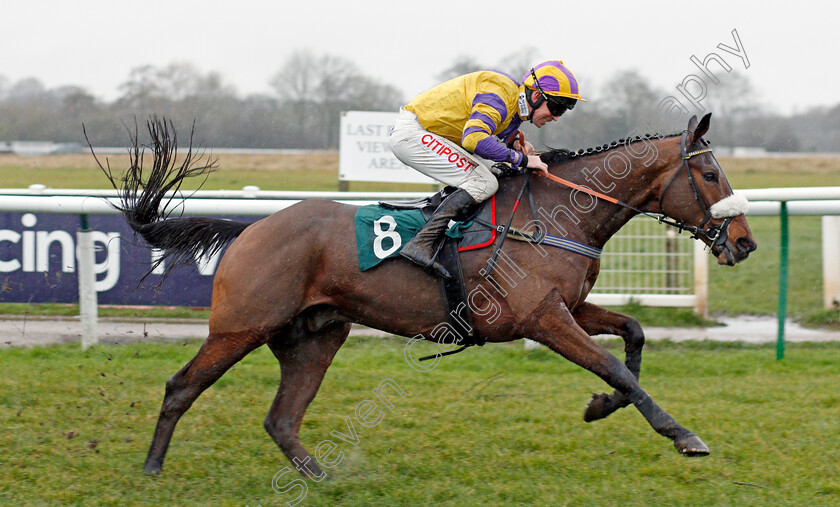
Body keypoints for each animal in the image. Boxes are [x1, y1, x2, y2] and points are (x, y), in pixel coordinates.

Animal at [95, 113, 756, 478]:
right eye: (710, 174)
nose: (745, 243)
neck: (556, 216)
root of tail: (250, 229)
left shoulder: (567, 308)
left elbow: (634, 337)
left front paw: (600, 407)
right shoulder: (542, 318)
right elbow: (615, 366)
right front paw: (682, 434)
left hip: (315, 336)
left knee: (281, 418)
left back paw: (324, 478)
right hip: (241, 326)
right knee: (181, 387)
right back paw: (151, 467)